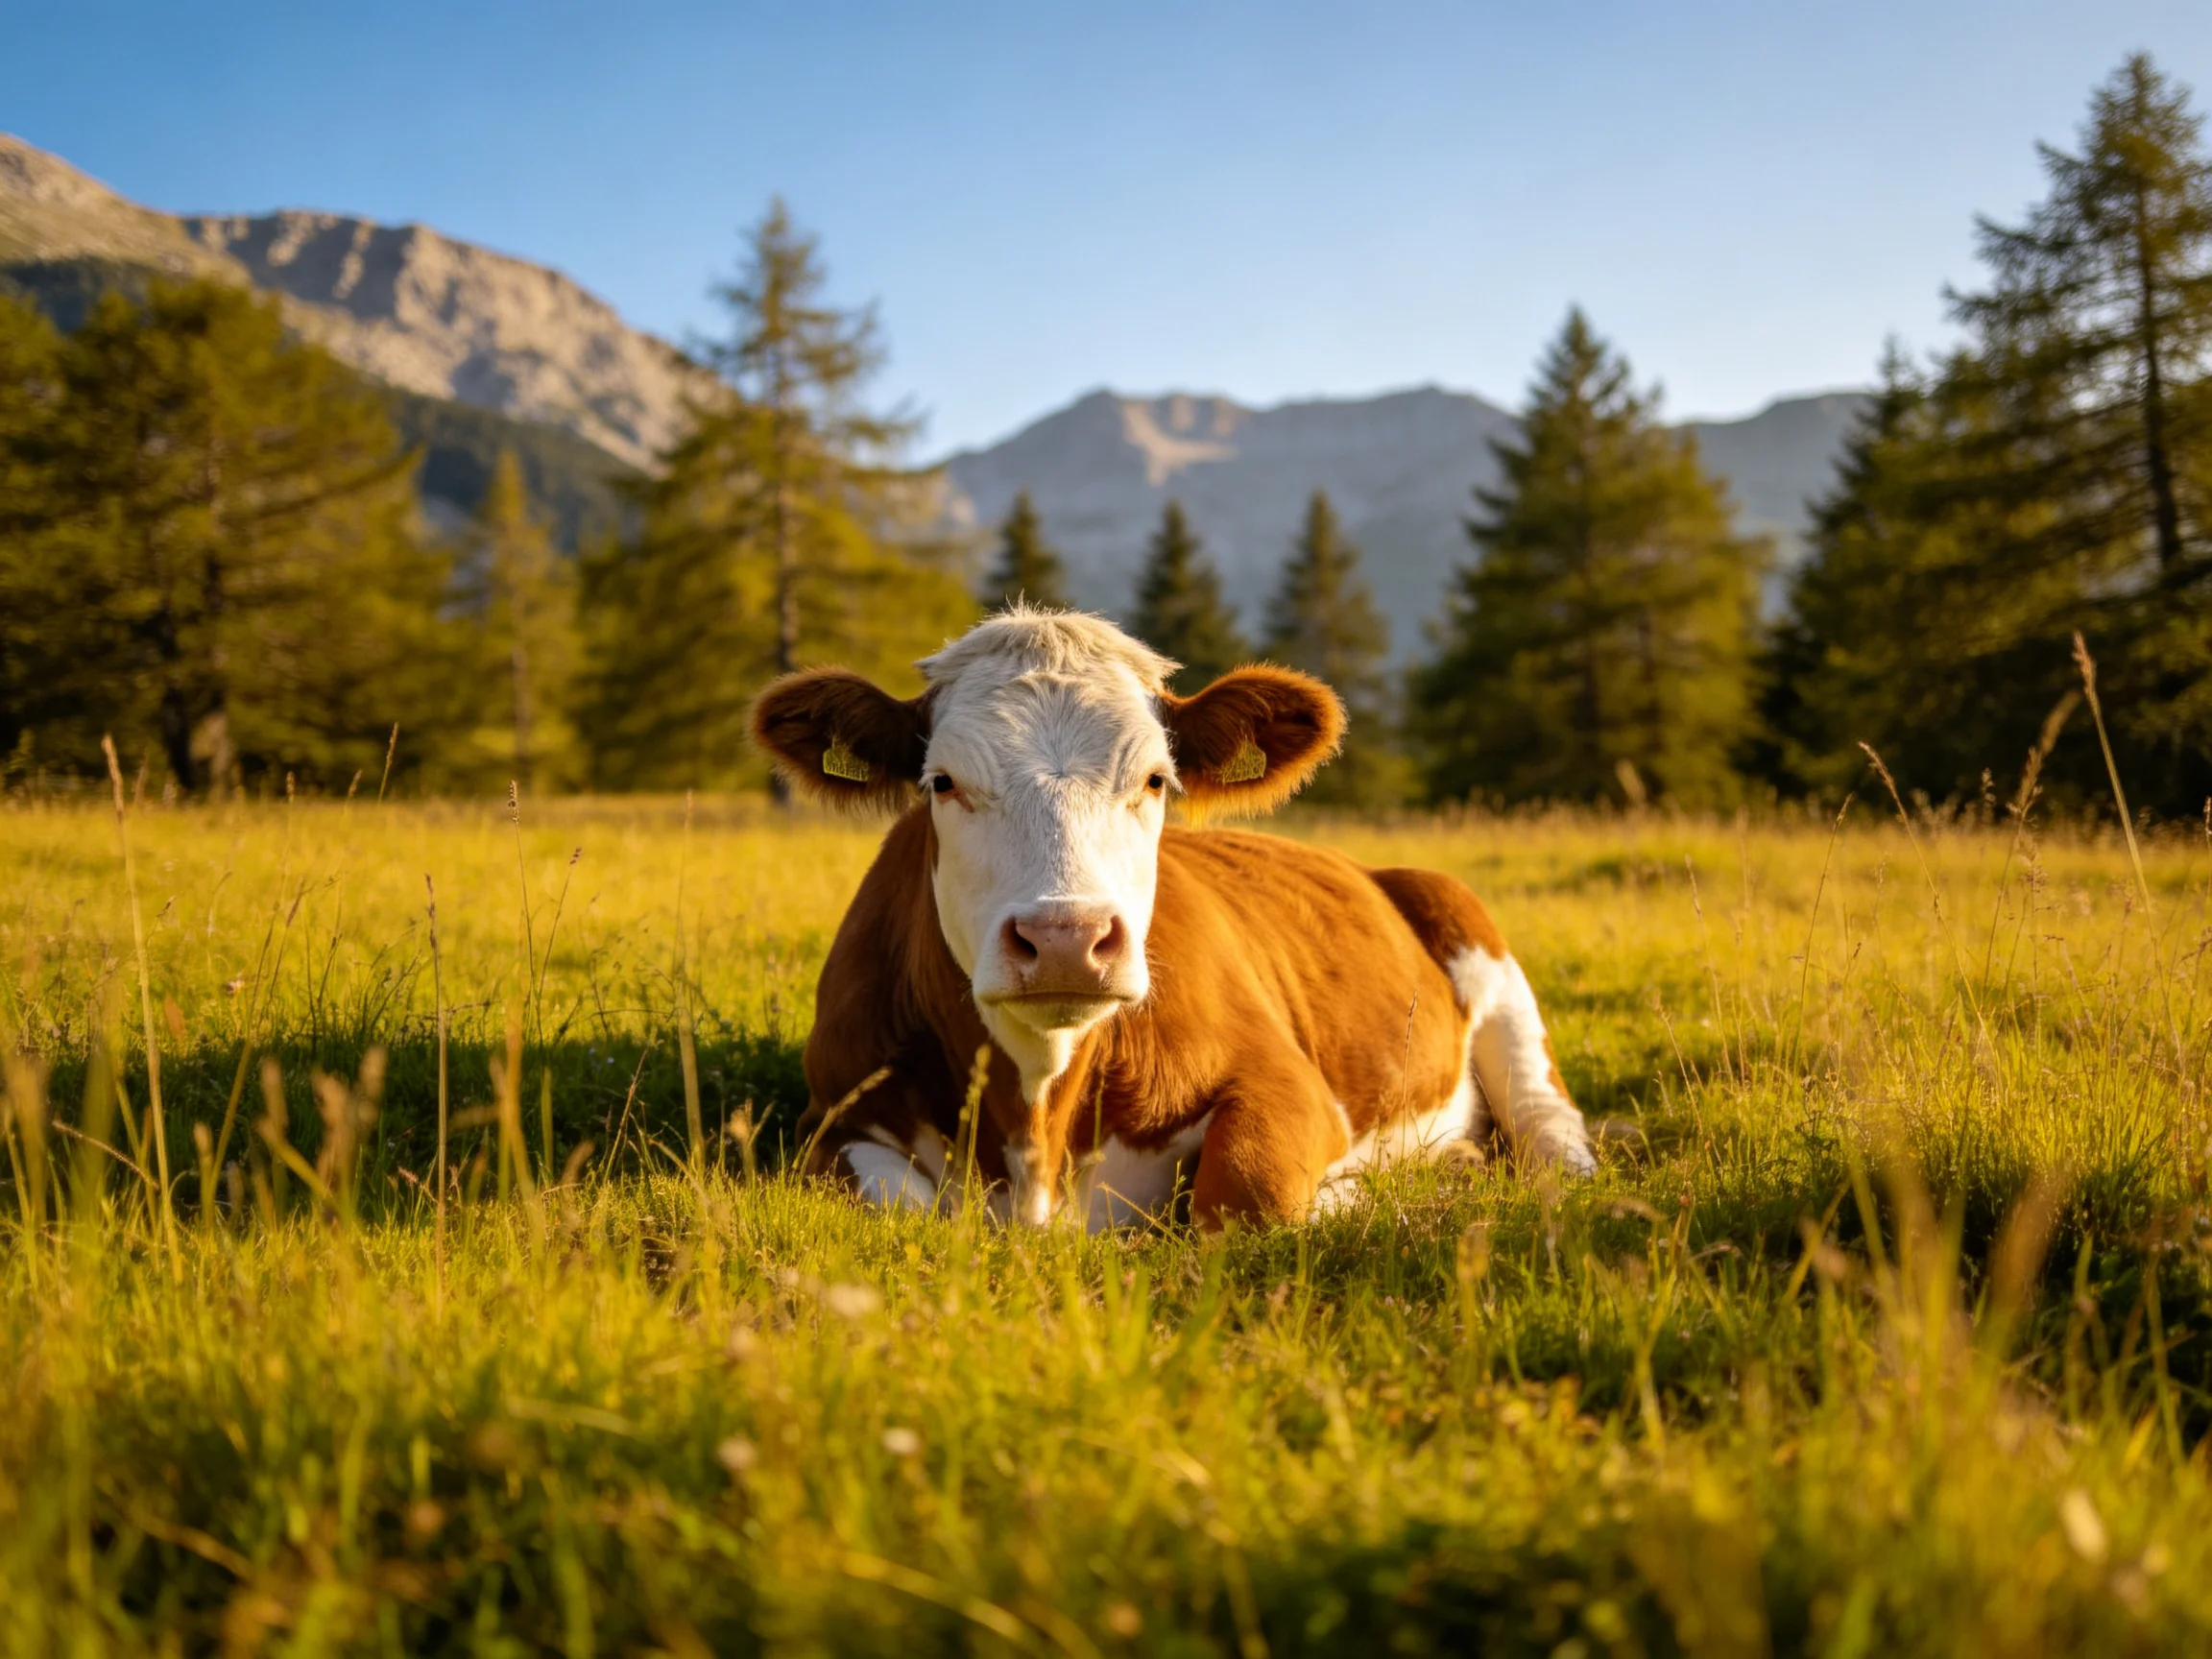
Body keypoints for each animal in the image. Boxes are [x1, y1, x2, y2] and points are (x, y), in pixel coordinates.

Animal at [751, 607, 1595, 1230]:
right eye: (943, 782)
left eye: (1156, 779)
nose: (1066, 941)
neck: (1037, 1122)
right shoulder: (827, 1122)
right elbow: (900, 1208)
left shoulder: (1287, 1085)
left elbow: (1250, 1198)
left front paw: (1361, 1189)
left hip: (1495, 978)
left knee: (1553, 1134)